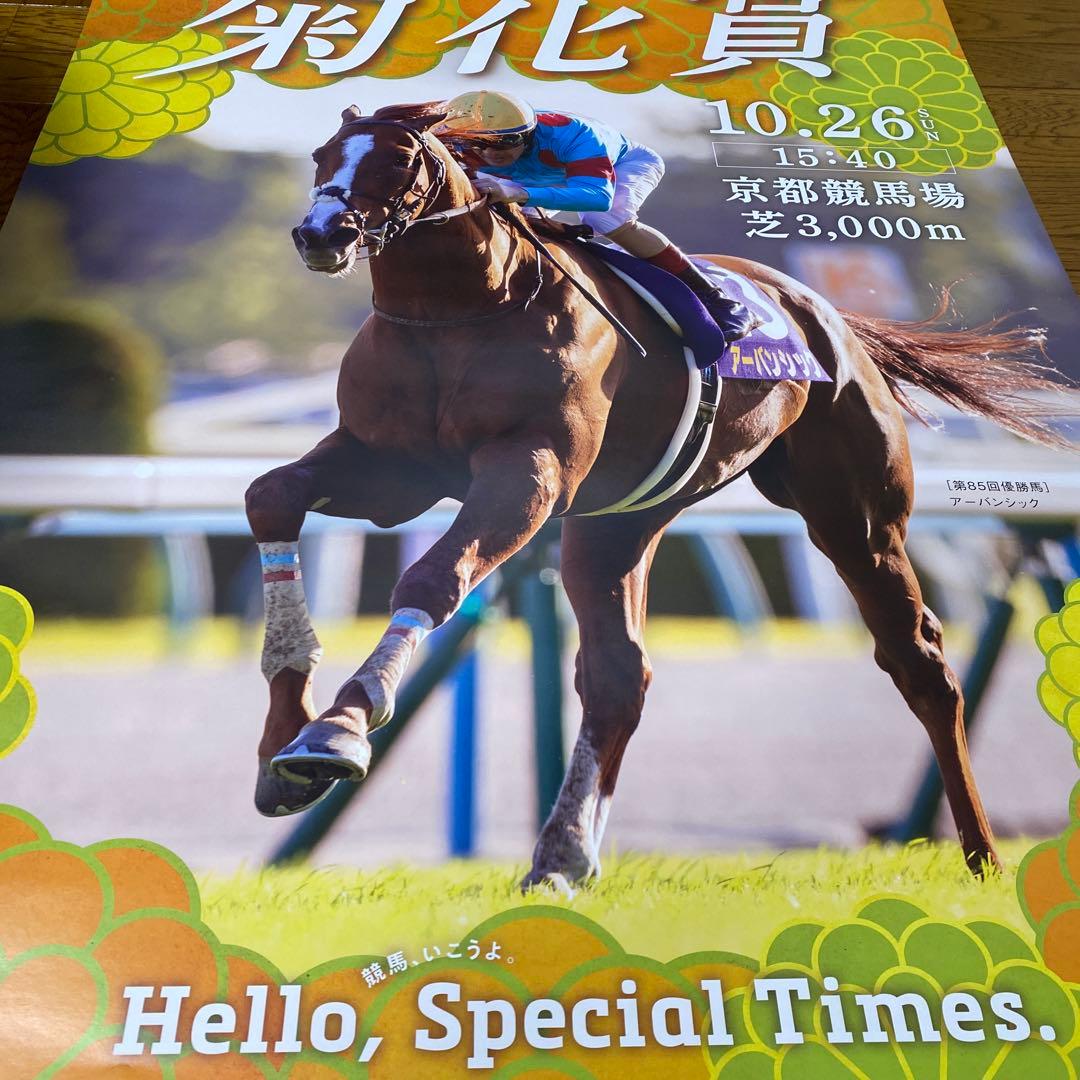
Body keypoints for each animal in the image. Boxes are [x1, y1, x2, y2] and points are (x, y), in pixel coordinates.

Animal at [247, 100, 1066, 890]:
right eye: (321, 157)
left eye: (398, 159)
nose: (320, 232)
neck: (458, 309)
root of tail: (833, 320)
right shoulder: (388, 470)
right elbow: (270, 496)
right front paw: (282, 739)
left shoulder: (529, 471)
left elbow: (432, 578)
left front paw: (339, 727)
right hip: (619, 522)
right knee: (618, 675)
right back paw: (561, 859)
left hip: (855, 517)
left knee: (918, 661)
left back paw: (983, 856)